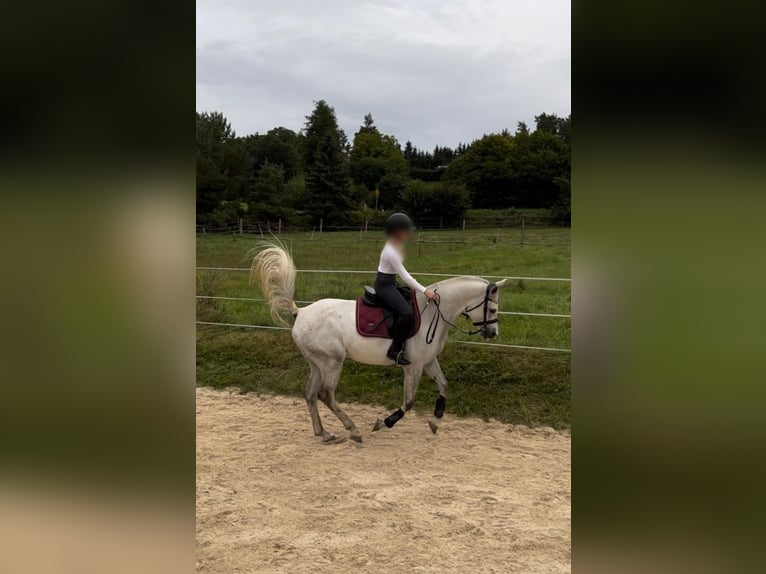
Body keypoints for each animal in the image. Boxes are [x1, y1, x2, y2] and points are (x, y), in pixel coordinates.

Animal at [249, 243, 508, 446]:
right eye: (493, 309)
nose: (493, 333)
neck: (433, 312)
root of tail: (300, 312)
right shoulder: (413, 366)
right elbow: (408, 402)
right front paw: (383, 423)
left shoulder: (428, 361)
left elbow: (444, 385)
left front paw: (435, 421)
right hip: (332, 362)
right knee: (326, 395)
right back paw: (353, 430)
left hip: (317, 364)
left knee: (311, 394)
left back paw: (324, 434)